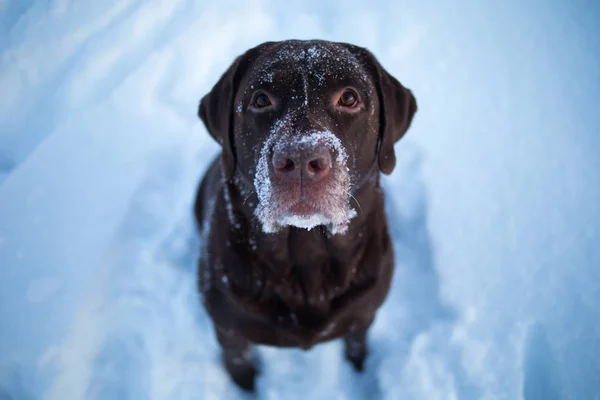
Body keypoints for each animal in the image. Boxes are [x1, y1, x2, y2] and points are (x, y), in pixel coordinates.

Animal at [195, 39, 414, 390]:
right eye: (261, 99)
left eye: (349, 98)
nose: (300, 159)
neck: (305, 254)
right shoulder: (229, 331)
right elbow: (239, 366)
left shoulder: (363, 317)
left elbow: (356, 346)